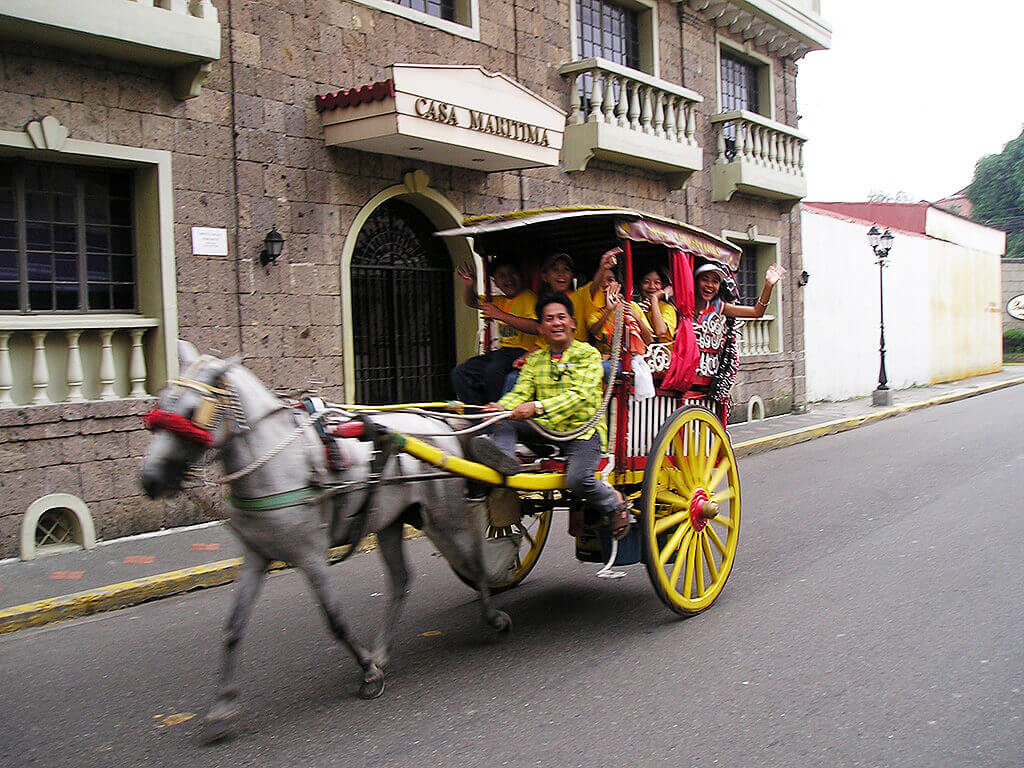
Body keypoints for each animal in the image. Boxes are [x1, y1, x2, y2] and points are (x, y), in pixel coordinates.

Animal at [142, 346, 509, 741]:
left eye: (192, 411)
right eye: (161, 401)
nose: (149, 480)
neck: (274, 459)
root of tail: (438, 424)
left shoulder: (310, 555)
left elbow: (335, 620)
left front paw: (368, 674)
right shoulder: (256, 555)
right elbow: (233, 628)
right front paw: (222, 708)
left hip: (444, 515)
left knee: (473, 562)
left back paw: (492, 617)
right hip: (390, 521)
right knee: (401, 580)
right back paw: (382, 650)